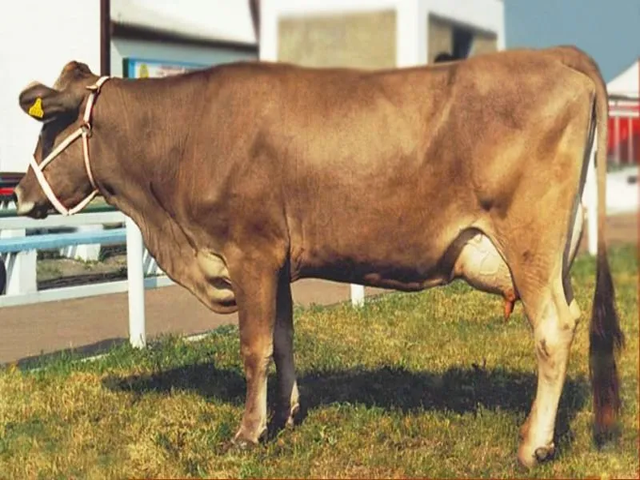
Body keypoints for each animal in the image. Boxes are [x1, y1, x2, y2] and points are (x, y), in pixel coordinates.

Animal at [12, 45, 624, 468]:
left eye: (52, 124)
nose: (18, 194)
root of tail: (554, 57)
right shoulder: (278, 260)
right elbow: (284, 338)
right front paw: (287, 414)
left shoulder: (251, 250)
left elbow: (254, 347)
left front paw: (248, 433)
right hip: (554, 256)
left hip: (530, 244)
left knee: (553, 328)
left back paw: (533, 446)